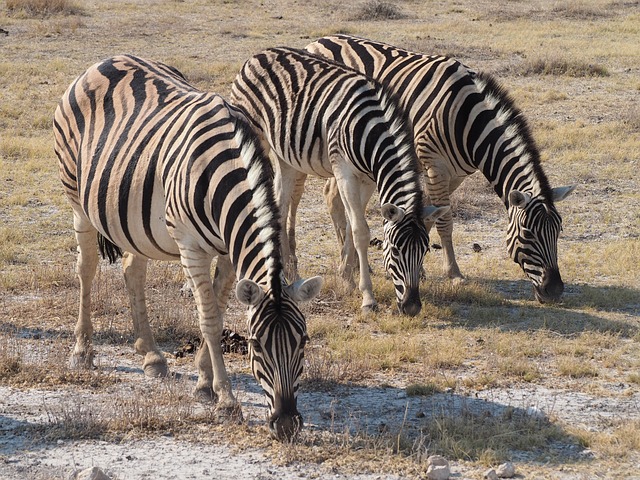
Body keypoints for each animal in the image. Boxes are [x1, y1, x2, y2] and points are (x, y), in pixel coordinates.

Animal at [53, 54, 323, 440]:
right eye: (255, 345)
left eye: (304, 341)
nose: (286, 425)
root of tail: (104, 61)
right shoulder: (191, 247)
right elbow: (209, 318)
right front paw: (226, 401)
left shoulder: (229, 250)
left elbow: (220, 311)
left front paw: (204, 382)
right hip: (77, 199)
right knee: (86, 269)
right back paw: (82, 351)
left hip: (134, 220)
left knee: (132, 271)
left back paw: (151, 355)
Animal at [230, 47, 448, 316]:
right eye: (396, 250)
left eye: (425, 251)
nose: (412, 307)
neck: (372, 134)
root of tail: (259, 54)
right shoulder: (343, 170)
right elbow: (360, 230)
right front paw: (367, 297)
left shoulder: (367, 179)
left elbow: (352, 224)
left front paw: (346, 276)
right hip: (256, 137)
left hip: (285, 156)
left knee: (280, 205)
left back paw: (286, 273)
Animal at [305, 35, 576, 303]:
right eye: (528, 235)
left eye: (559, 231)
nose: (555, 291)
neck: (468, 122)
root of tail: (320, 40)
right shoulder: (434, 167)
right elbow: (445, 222)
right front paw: (454, 274)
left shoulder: (455, 174)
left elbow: (428, 218)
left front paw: (421, 268)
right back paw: (351, 267)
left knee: (333, 196)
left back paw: (353, 265)